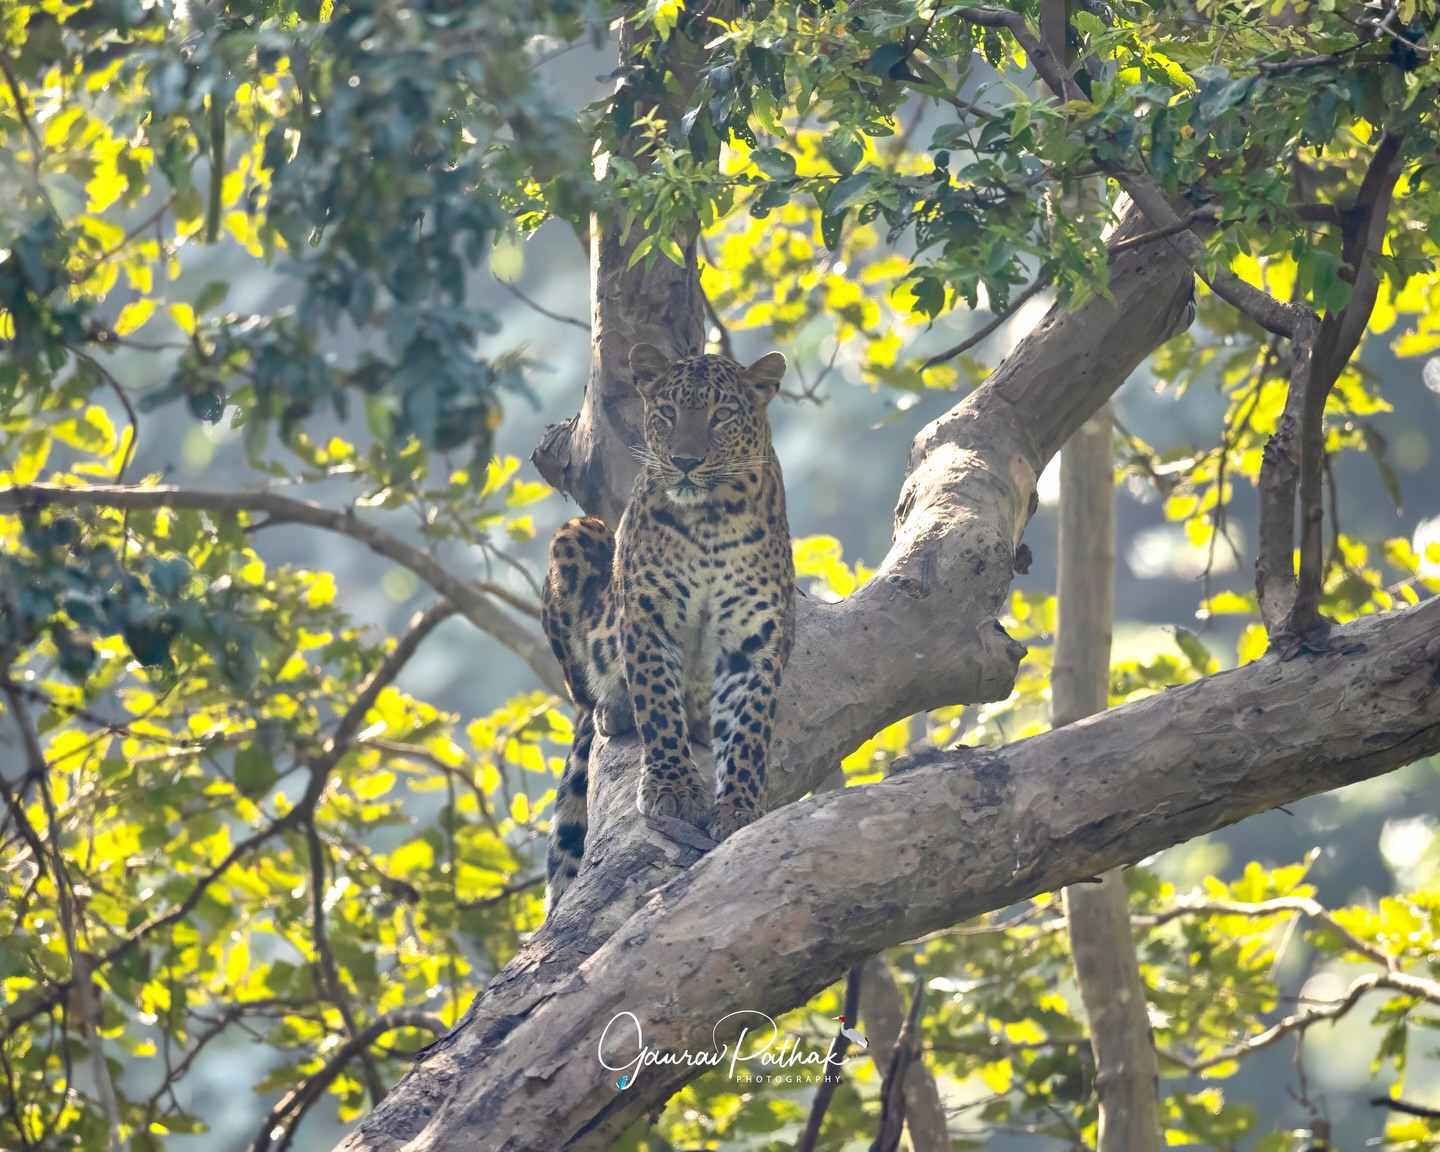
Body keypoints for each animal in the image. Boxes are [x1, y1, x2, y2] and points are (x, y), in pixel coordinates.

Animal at [541, 343, 796, 915]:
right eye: (667, 413)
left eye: (721, 415)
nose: (684, 462)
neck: (712, 517)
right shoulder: (646, 615)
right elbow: (657, 703)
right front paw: (673, 790)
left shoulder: (757, 634)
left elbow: (750, 727)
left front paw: (739, 807)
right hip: (578, 533)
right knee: (586, 695)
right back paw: (613, 708)